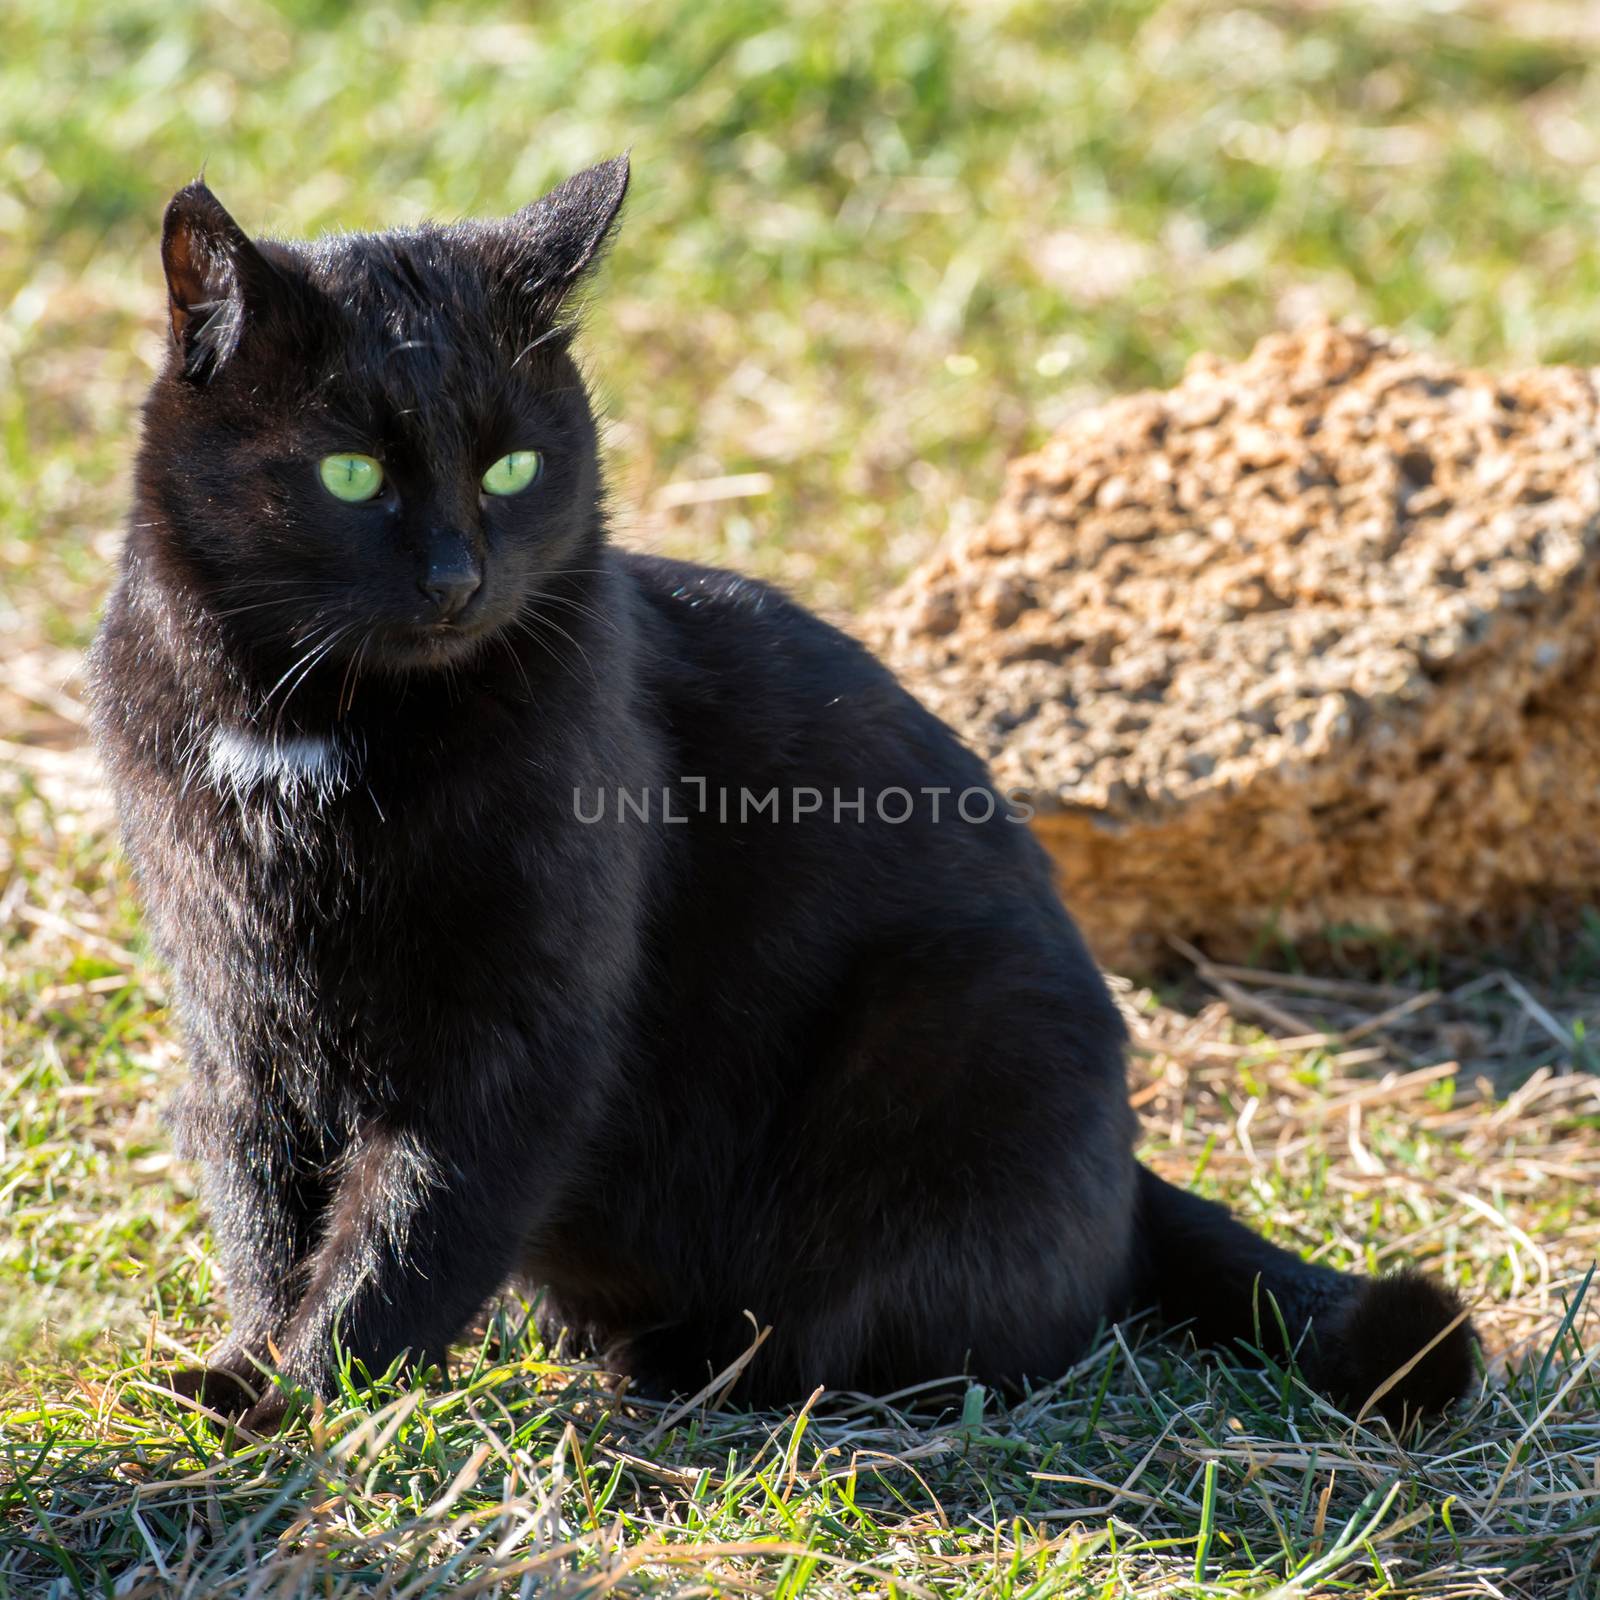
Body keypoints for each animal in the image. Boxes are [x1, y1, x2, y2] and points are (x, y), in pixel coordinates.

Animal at [84, 156, 1465, 1433]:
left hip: (949, 1030)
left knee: (908, 1333)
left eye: (515, 467)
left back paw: (687, 1367)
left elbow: (411, 1223)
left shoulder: (516, 1035)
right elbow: (264, 1204)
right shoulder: (236, 1006)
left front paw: (306, 1396)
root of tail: (1132, 1174)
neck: (311, 729)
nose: (456, 577)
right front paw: (245, 1371)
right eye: (352, 476)